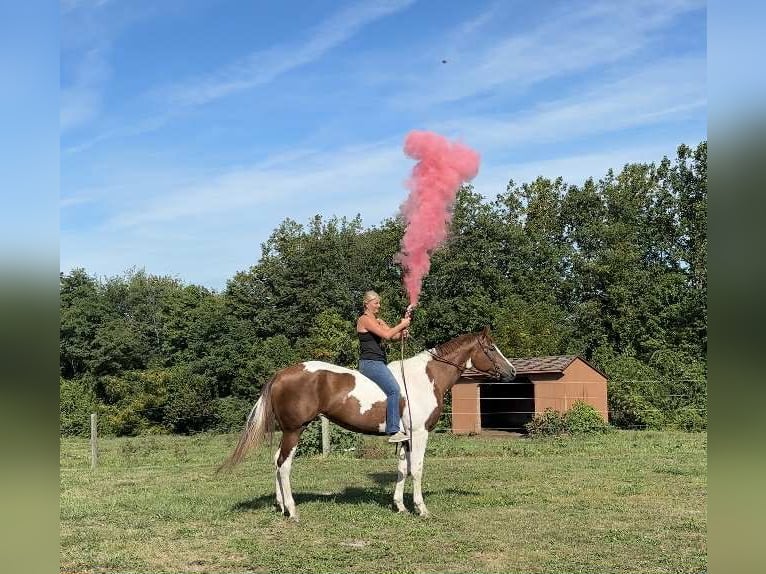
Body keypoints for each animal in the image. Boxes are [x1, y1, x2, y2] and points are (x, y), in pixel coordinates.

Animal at [219, 326, 516, 520]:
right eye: (491, 348)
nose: (511, 372)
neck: (426, 377)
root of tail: (280, 374)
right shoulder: (420, 434)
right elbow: (417, 470)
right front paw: (422, 509)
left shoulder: (405, 438)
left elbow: (402, 470)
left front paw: (400, 506)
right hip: (295, 430)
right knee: (284, 465)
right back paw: (292, 511)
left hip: (288, 431)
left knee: (275, 461)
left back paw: (281, 506)